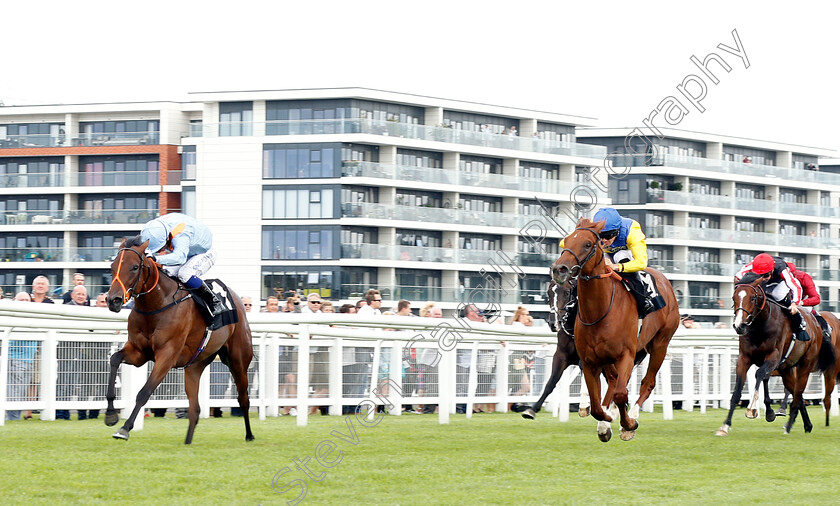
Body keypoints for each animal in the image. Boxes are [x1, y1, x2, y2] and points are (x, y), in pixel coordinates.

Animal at [103, 236, 253, 442]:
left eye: (134, 267)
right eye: (112, 266)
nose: (113, 300)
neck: (157, 304)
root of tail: (238, 300)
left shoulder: (167, 355)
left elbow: (144, 392)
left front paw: (124, 429)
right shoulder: (138, 352)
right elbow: (114, 359)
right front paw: (111, 415)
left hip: (238, 361)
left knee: (243, 398)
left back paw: (249, 435)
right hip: (195, 366)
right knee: (194, 409)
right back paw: (187, 442)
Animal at [552, 219, 684, 440]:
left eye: (588, 244)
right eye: (566, 241)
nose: (559, 269)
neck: (600, 311)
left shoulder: (626, 355)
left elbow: (622, 394)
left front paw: (628, 424)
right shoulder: (590, 361)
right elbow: (596, 406)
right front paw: (606, 420)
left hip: (660, 344)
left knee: (647, 383)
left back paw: (632, 416)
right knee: (614, 381)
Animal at [720, 276, 824, 434]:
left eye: (752, 298)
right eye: (733, 297)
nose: (739, 326)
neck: (760, 326)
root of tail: (815, 321)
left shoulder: (773, 357)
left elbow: (759, 374)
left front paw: (752, 409)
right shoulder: (744, 358)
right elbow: (737, 391)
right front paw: (725, 426)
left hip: (805, 365)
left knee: (798, 391)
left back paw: (789, 426)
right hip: (787, 369)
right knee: (796, 393)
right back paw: (806, 425)